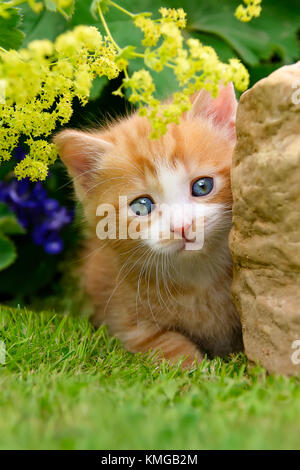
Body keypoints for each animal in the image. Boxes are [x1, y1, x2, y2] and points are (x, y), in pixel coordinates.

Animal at [54, 85, 244, 370]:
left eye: (202, 186)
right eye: (142, 206)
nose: (182, 226)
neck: (199, 276)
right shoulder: (128, 322)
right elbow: (168, 347)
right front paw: (198, 371)